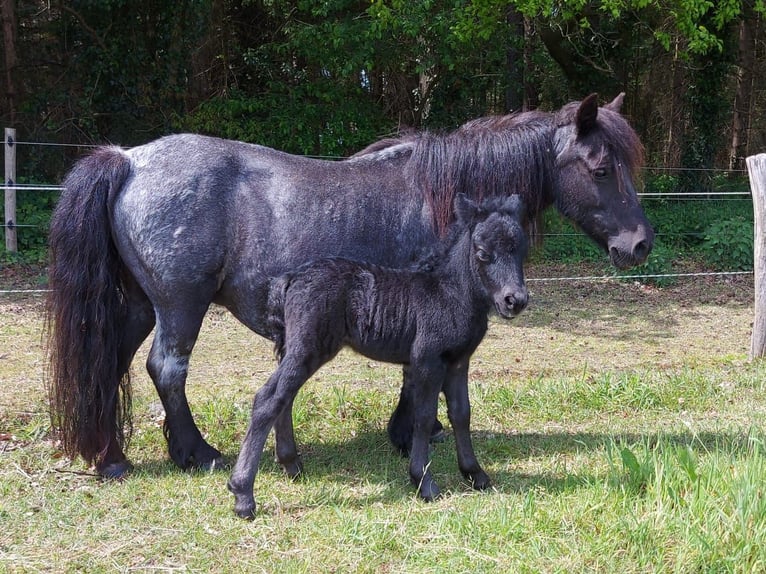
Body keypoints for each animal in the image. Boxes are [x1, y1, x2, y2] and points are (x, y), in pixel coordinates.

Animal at [45, 93, 652, 482]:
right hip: (180, 305)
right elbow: (417, 381)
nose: (640, 244)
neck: (446, 198)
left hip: (139, 306)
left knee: (111, 364)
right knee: (167, 370)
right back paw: (199, 453)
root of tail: (129, 159)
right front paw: (410, 435)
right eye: (601, 167)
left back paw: (112, 458)